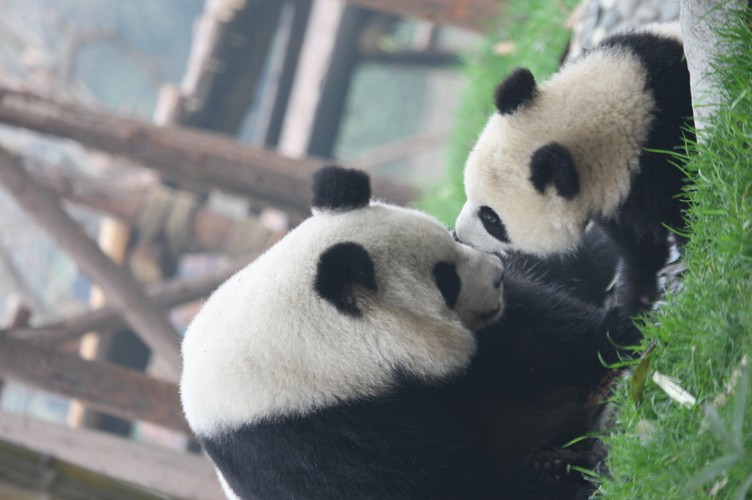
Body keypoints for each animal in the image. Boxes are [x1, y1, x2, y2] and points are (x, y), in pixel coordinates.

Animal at [180, 166, 641, 499]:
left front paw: (621, 332)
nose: (497, 275)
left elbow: (533, 338)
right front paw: (569, 480)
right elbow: (432, 482)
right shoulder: (302, 437)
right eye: (446, 279)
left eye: (451, 241)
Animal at [454, 25, 693, 315]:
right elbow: (636, 238)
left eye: (491, 219)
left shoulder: (664, 142)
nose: (456, 234)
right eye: (468, 193)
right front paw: (636, 295)